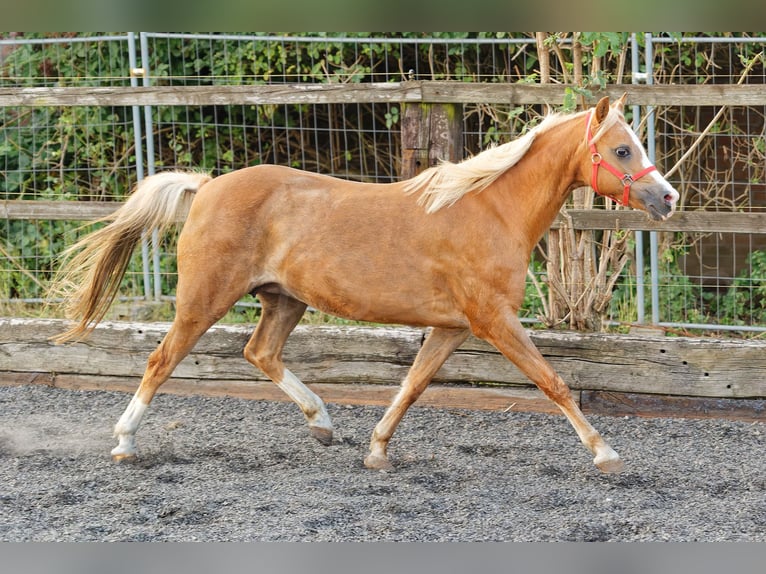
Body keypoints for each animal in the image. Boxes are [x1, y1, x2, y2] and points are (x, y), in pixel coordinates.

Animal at [51, 93, 680, 472]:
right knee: (162, 360)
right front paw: (606, 454)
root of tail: (205, 187)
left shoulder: (453, 328)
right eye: (622, 148)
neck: (488, 210)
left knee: (260, 353)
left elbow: (412, 386)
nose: (668, 198)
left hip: (284, 300)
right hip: (205, 299)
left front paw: (377, 451)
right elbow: (554, 383)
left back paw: (323, 424)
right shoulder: (494, 321)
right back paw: (125, 442)